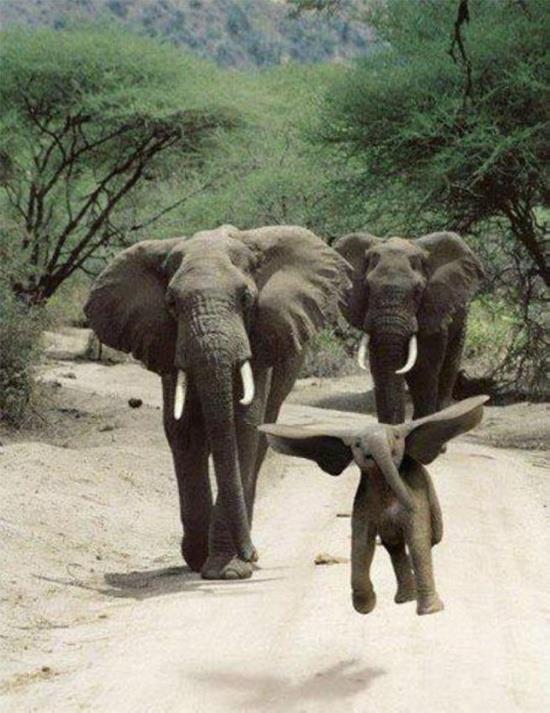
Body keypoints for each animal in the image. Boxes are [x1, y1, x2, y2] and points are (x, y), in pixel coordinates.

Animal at [84, 224, 350, 580]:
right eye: (171, 303)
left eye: (247, 299)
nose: (252, 553)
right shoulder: (168, 343)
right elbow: (183, 430)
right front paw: (198, 559)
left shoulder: (260, 338)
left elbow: (241, 426)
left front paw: (228, 570)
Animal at [260, 395, 488, 615]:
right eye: (357, 444)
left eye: (396, 437)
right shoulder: (363, 503)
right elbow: (361, 542)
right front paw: (365, 607)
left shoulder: (416, 495)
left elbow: (418, 539)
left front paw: (431, 612)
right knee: (394, 548)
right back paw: (404, 599)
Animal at [334, 231, 484, 424]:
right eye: (367, 287)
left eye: (418, 290)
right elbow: (380, 366)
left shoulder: (433, 308)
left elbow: (424, 368)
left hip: (462, 317)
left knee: (448, 367)